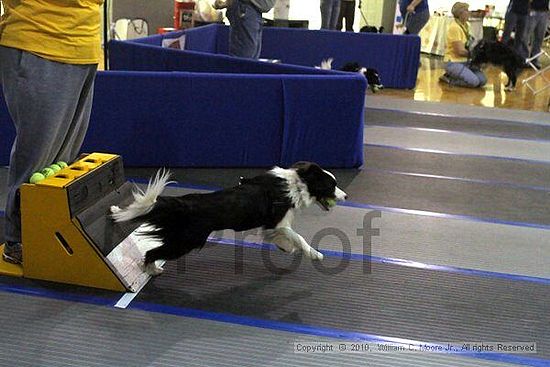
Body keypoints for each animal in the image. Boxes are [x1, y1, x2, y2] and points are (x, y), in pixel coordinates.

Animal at [110, 162, 348, 274]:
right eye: (332, 185)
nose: (346, 196)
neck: (297, 183)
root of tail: (185, 204)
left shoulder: (271, 226)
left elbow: (285, 239)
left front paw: (285, 247)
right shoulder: (278, 221)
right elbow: (299, 237)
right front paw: (315, 254)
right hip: (186, 242)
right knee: (152, 252)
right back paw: (152, 269)